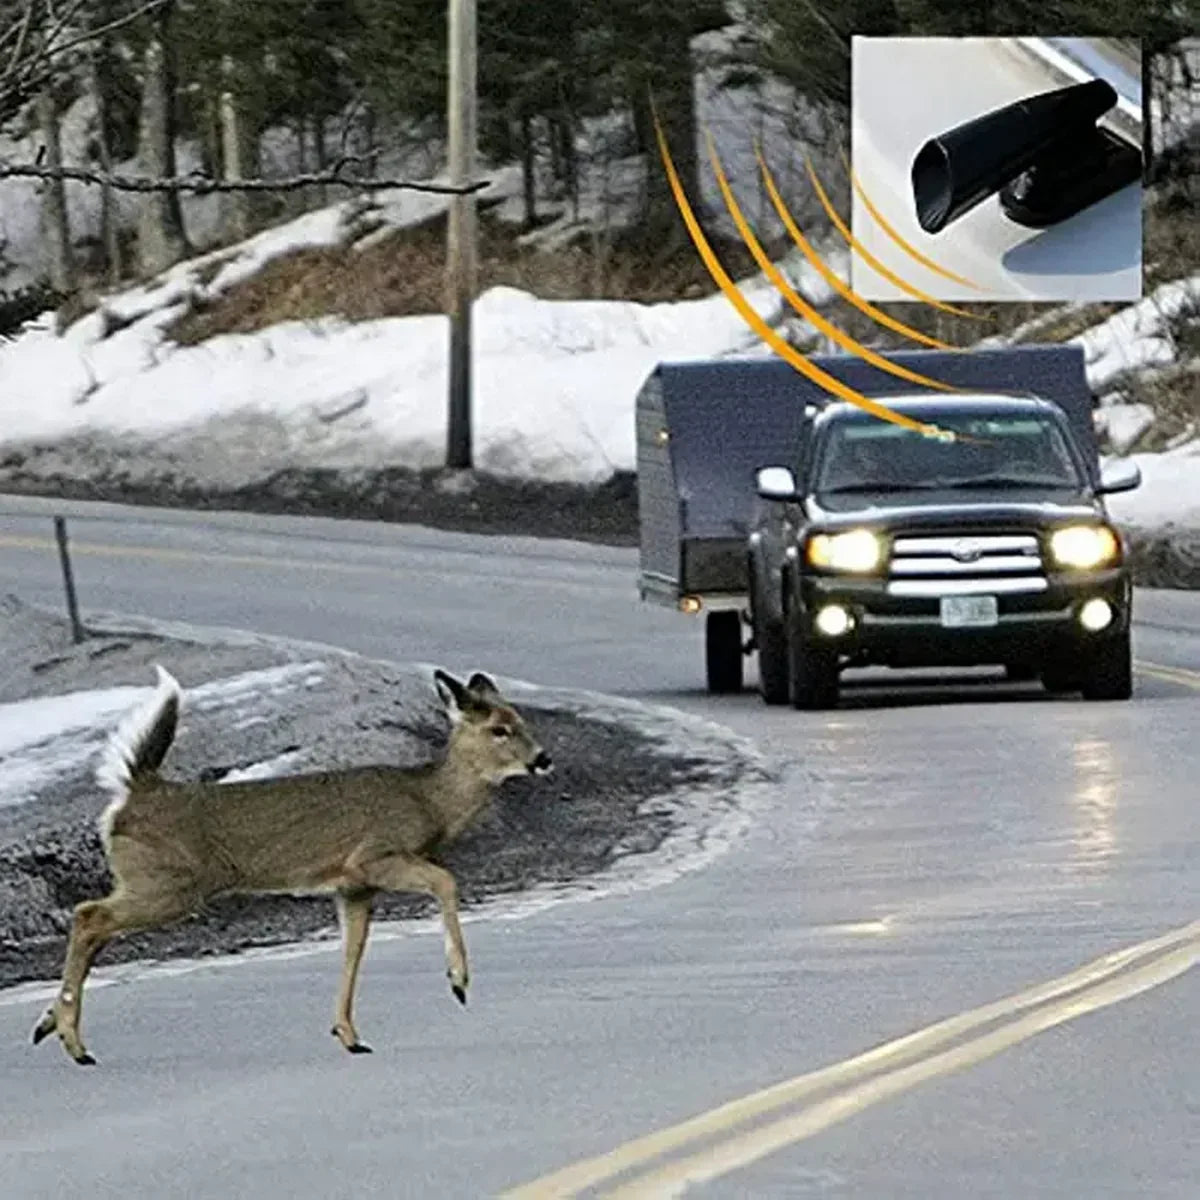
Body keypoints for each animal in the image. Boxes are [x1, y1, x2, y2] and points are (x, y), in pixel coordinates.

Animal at [31, 663, 553, 1065]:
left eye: (522, 721)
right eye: (499, 729)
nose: (543, 758)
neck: (430, 802)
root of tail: (135, 793)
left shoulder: (353, 887)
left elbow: (353, 949)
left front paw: (348, 1034)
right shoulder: (374, 855)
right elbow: (445, 880)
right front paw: (458, 981)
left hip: (152, 882)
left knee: (95, 926)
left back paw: (49, 1025)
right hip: (170, 883)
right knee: (88, 915)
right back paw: (74, 1043)